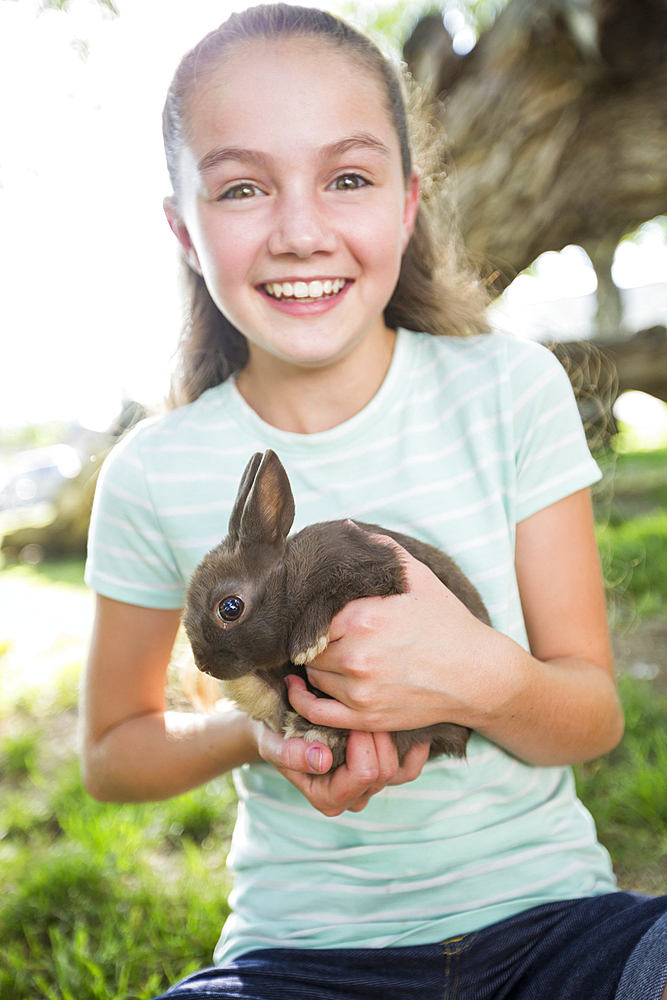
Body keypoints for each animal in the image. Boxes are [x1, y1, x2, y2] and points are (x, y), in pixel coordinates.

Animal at [181, 450, 490, 768]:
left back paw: (316, 731)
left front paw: (306, 644)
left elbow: (331, 593)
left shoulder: (377, 572)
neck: (290, 579)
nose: (203, 665)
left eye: (230, 608)